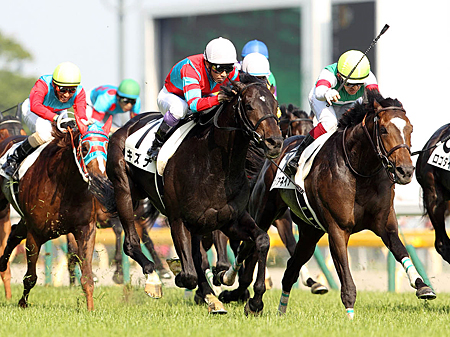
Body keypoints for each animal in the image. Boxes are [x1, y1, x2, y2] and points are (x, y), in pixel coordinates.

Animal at [0, 116, 112, 310]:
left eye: (106, 146)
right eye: (84, 147)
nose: (99, 179)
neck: (65, 185)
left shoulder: (85, 229)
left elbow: (87, 276)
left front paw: (90, 308)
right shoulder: (36, 233)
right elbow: (30, 277)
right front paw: (22, 303)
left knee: (14, 233)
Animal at [91, 74, 282, 316]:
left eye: (275, 106)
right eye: (248, 106)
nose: (275, 142)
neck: (214, 166)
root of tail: (126, 126)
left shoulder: (230, 219)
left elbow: (261, 240)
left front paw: (254, 301)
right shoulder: (178, 219)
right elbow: (190, 273)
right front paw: (179, 272)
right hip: (124, 190)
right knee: (131, 242)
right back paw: (154, 278)